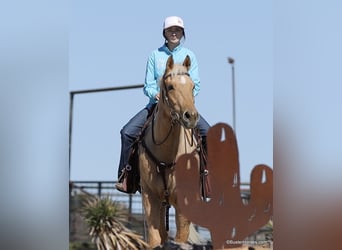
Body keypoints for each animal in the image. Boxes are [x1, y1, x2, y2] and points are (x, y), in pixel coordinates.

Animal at [138, 55, 199, 248]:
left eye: (192, 86)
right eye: (170, 86)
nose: (191, 116)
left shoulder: (185, 202)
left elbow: (181, 238)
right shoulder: (150, 197)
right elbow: (155, 239)